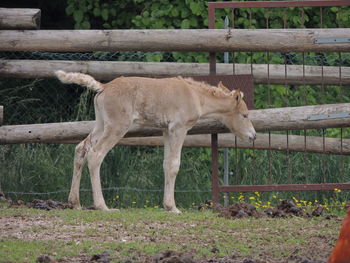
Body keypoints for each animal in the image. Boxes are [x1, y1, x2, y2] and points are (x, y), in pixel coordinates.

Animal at [55, 70, 258, 214]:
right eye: (244, 115)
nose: (253, 136)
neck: (195, 96)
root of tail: (103, 87)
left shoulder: (166, 130)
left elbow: (166, 164)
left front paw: (167, 206)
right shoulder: (179, 128)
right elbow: (174, 165)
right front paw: (173, 207)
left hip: (101, 124)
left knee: (81, 148)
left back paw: (75, 203)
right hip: (117, 126)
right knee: (95, 154)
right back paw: (102, 206)